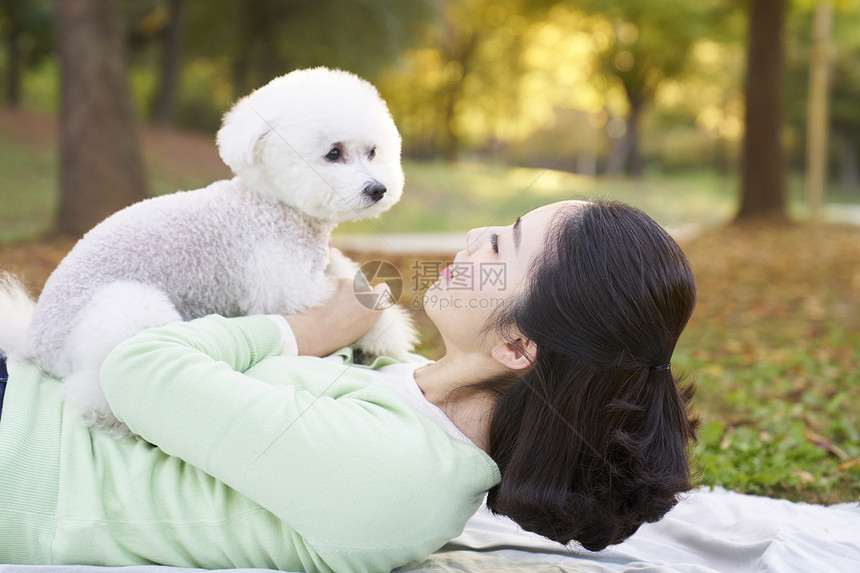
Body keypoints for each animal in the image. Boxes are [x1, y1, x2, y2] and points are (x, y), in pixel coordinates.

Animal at [1, 66, 416, 434]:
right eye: (333, 153)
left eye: (373, 151)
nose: (377, 189)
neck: (275, 206)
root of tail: (33, 342)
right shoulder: (288, 288)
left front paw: (382, 336)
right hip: (128, 310)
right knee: (96, 383)